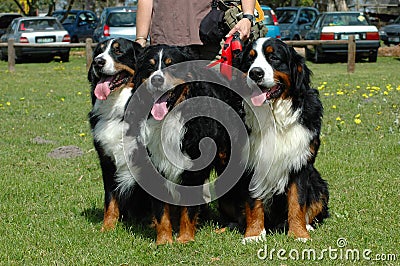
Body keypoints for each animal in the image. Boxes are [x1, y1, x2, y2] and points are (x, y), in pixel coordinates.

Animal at [88, 37, 150, 231]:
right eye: (99, 51)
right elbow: (110, 199)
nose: (98, 62)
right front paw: (107, 227)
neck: (120, 109)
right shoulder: (107, 161)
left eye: (118, 51)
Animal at [132, 44, 244, 245]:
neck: (169, 117)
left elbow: (188, 208)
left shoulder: (194, 169)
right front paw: (164, 240)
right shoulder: (155, 165)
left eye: (172, 65)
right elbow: (161, 210)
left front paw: (185, 238)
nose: (157, 79)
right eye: (150, 66)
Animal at [223, 37, 330, 243]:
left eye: (274, 58)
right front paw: (254, 234)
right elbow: (253, 201)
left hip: (318, 183)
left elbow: (298, 202)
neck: (273, 117)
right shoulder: (251, 163)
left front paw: (299, 234)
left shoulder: (300, 163)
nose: (255, 73)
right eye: (250, 59)